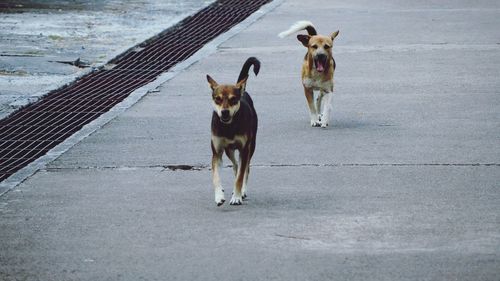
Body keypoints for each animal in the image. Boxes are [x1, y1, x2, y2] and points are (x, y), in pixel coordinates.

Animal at [208, 57, 262, 206]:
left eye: (233, 99)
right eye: (218, 99)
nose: (224, 112)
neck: (229, 126)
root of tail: (242, 90)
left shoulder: (244, 149)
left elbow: (240, 177)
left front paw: (237, 197)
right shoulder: (217, 152)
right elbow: (216, 177)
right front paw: (219, 196)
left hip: (251, 146)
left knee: (245, 169)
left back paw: (242, 191)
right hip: (229, 150)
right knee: (236, 165)